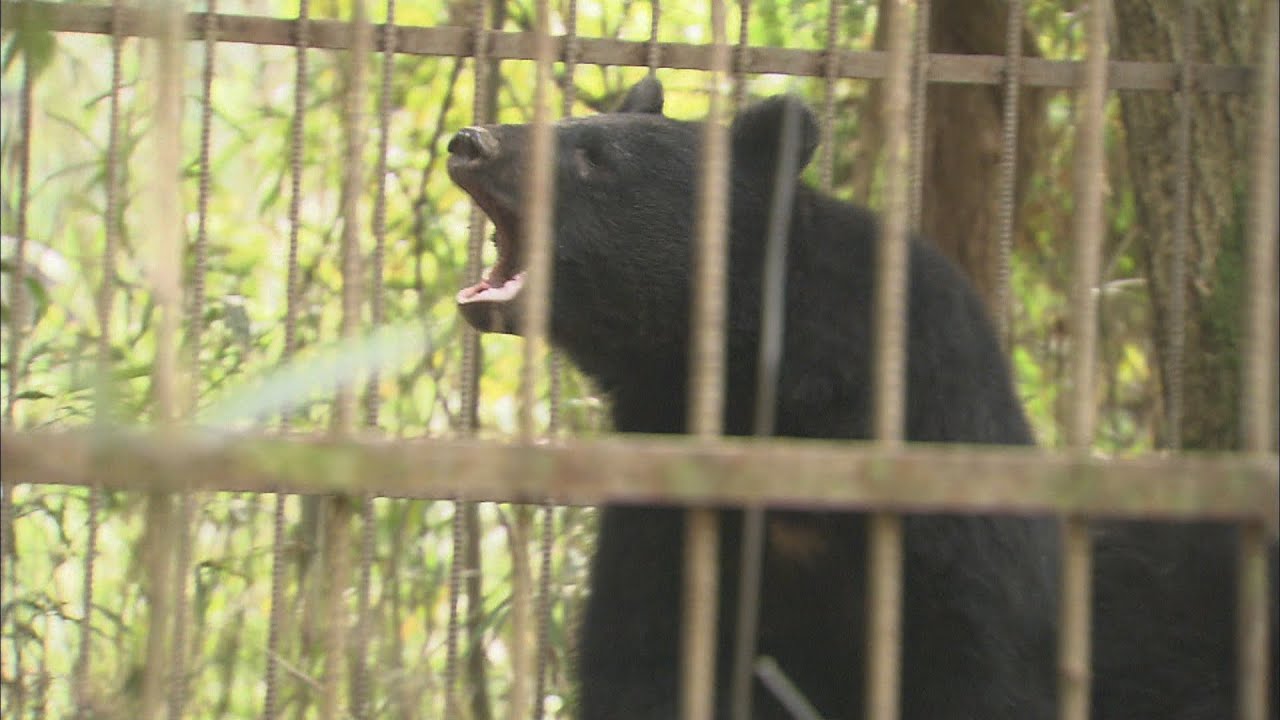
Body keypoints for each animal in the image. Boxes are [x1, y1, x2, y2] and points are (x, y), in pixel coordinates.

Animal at [446, 76, 1275, 720]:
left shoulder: (950, 506)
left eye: (594, 158)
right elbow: (642, 658)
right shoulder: (673, 511)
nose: (468, 142)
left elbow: (979, 664)